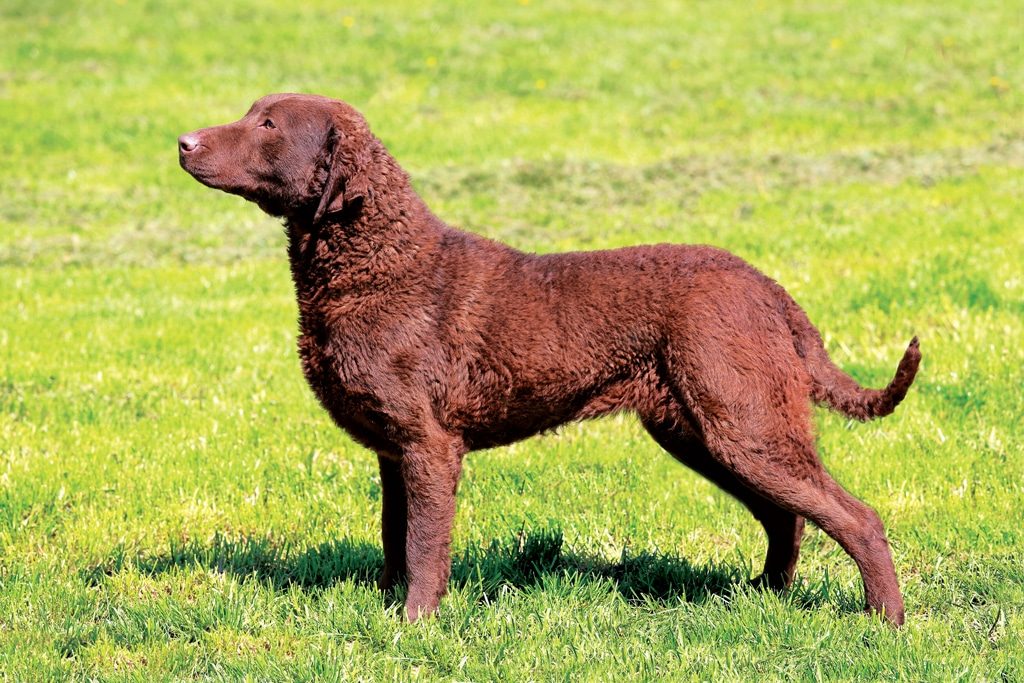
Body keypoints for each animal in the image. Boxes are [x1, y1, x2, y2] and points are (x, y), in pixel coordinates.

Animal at [180, 92, 925, 626]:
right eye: (251, 111)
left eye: (268, 123)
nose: (182, 141)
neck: (378, 264)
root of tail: (770, 289)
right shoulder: (392, 448)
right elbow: (394, 536)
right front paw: (386, 604)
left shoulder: (429, 443)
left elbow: (424, 545)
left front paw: (415, 624)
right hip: (704, 430)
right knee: (786, 516)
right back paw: (761, 595)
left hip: (744, 424)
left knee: (855, 517)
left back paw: (883, 621)